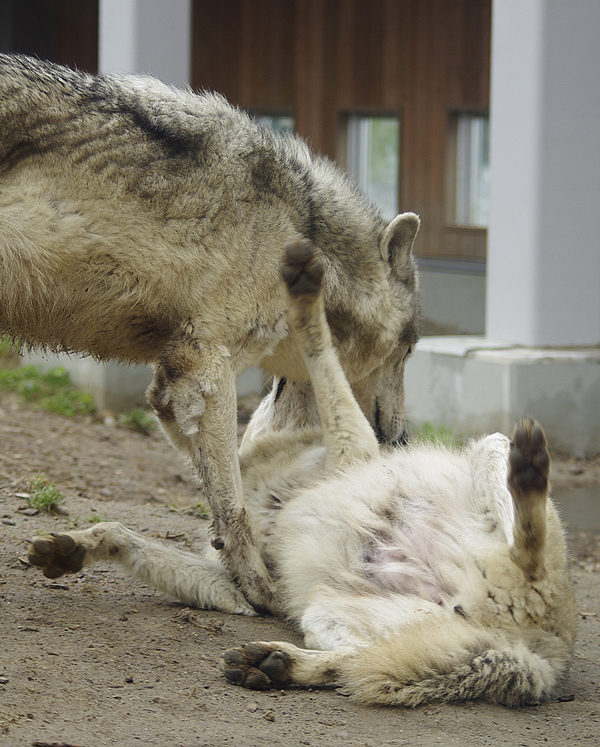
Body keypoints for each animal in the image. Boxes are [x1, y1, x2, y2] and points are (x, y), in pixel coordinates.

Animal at [0, 54, 420, 612]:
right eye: (409, 350)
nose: (401, 438)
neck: (302, 225)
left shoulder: (171, 384)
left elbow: (219, 492)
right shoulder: (209, 370)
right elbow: (234, 504)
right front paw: (260, 587)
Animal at [28, 244, 576, 708]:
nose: (273, 374)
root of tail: (544, 653)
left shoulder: (355, 447)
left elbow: (321, 351)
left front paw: (305, 294)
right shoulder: (248, 592)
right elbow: (122, 534)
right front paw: (71, 549)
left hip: (491, 448)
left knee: (525, 547)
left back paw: (529, 473)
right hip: (330, 615)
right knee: (352, 663)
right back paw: (274, 666)